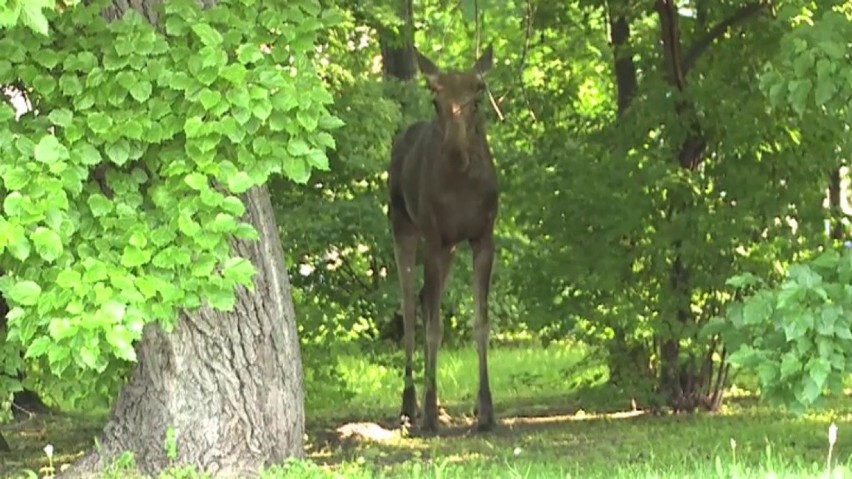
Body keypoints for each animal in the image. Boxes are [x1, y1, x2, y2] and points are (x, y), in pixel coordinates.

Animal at [388, 46, 500, 436]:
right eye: (435, 97)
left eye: (478, 95)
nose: (454, 151)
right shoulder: (434, 237)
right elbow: (435, 328)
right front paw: (431, 414)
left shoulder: (483, 237)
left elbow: (480, 323)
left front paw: (486, 412)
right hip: (403, 224)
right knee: (410, 306)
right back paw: (410, 405)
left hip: (450, 247)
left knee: (424, 299)